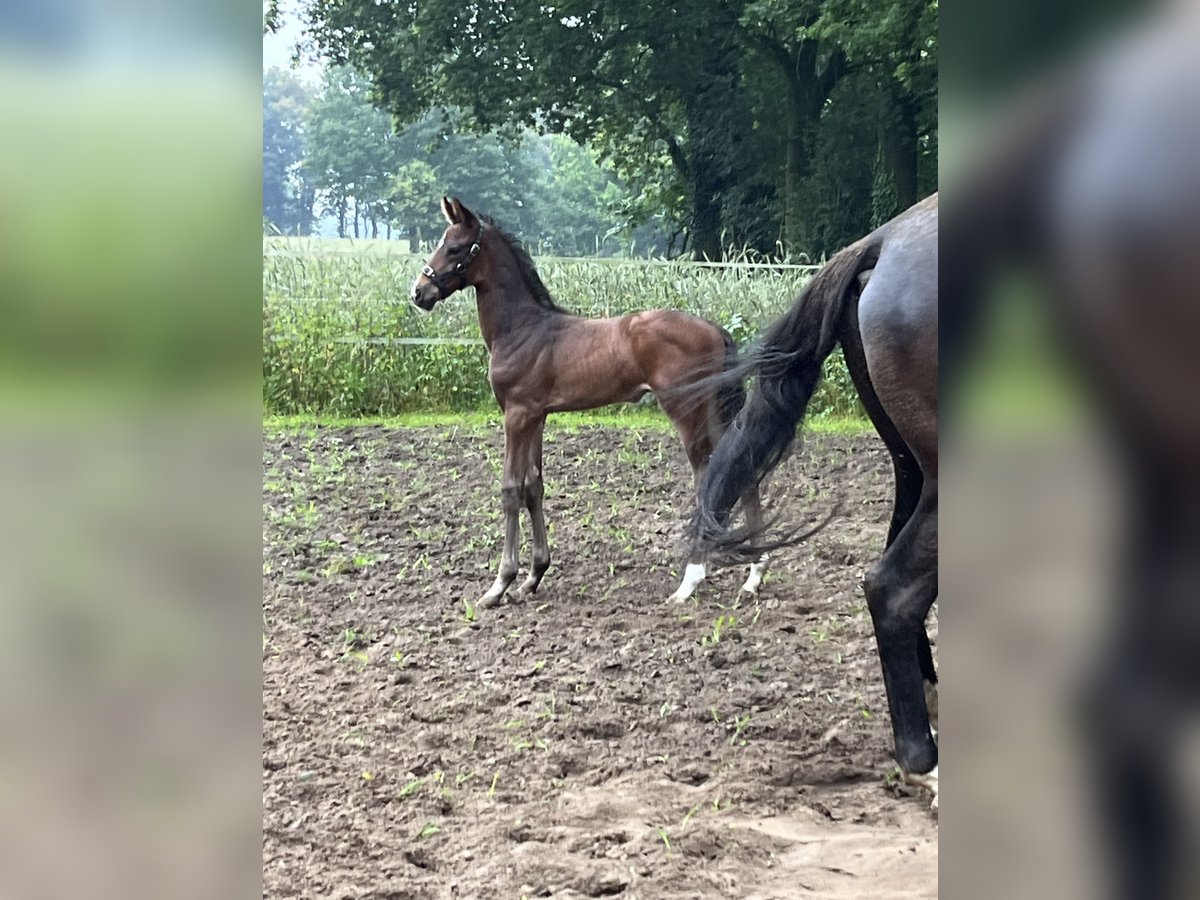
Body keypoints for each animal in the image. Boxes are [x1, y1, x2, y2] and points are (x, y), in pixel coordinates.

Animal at [408, 196, 763, 607]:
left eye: (454, 247)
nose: (418, 293)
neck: (521, 329)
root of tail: (715, 330)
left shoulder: (516, 414)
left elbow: (510, 489)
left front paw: (499, 584)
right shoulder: (536, 416)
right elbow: (533, 486)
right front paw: (534, 575)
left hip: (687, 410)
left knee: (707, 475)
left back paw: (690, 581)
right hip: (715, 411)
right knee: (740, 466)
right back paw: (754, 575)